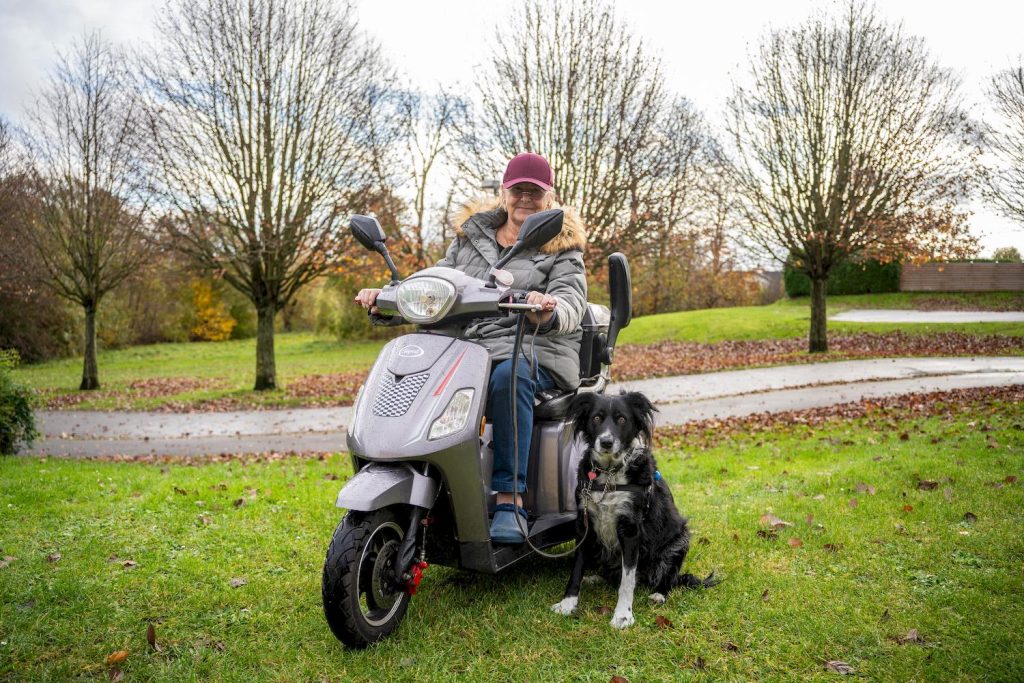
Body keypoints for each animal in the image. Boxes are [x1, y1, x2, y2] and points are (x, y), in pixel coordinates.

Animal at [551, 391, 717, 629]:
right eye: (596, 418)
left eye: (622, 419)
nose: (606, 442)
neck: (609, 474)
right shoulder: (584, 525)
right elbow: (576, 569)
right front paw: (568, 603)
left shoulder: (630, 530)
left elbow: (627, 580)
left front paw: (622, 615)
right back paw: (596, 577)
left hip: (680, 541)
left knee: (669, 578)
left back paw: (659, 594)